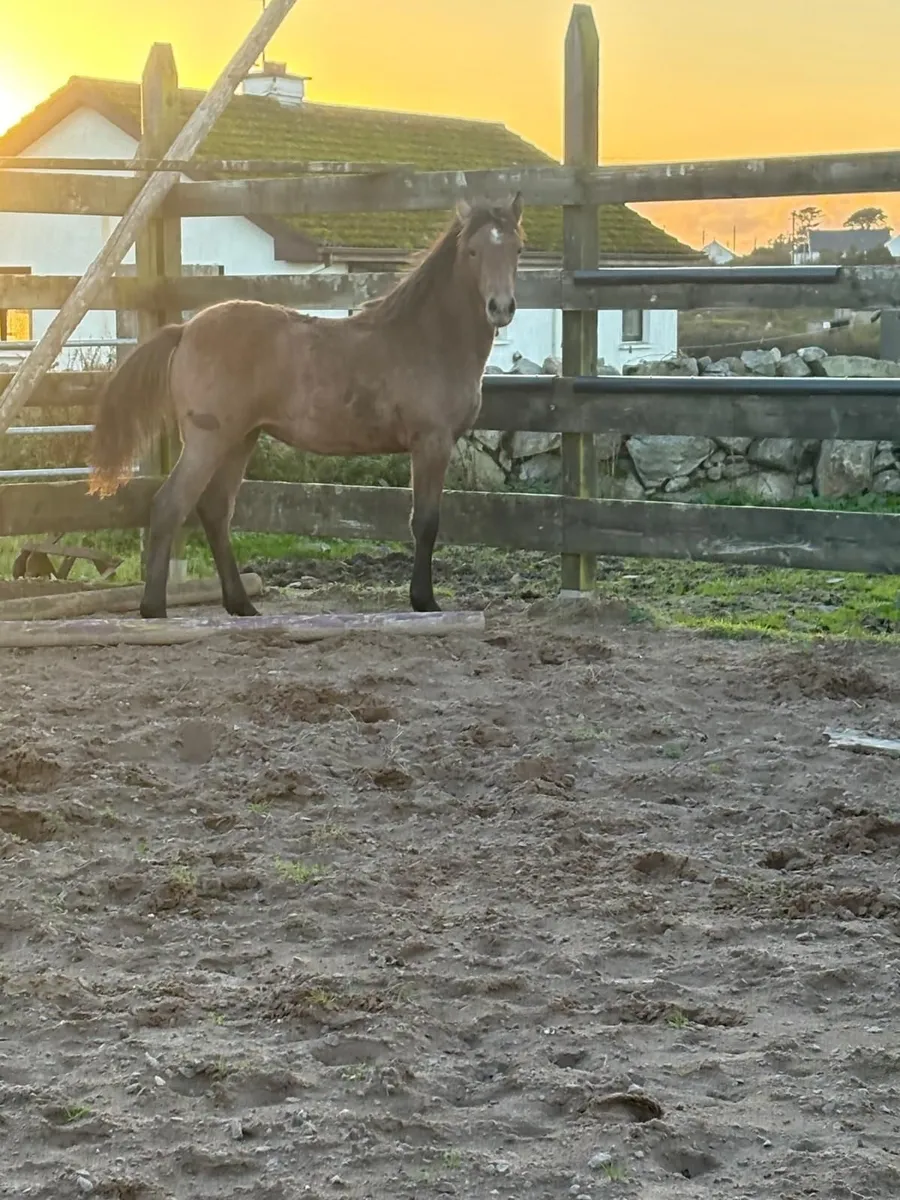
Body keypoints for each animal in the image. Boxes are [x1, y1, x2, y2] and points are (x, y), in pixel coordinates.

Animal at [88, 192, 525, 620]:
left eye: (518, 248)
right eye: (472, 250)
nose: (501, 308)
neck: (427, 338)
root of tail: (185, 329)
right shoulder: (431, 442)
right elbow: (426, 523)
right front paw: (425, 601)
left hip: (240, 439)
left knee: (215, 511)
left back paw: (241, 604)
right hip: (207, 442)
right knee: (169, 506)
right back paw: (154, 610)